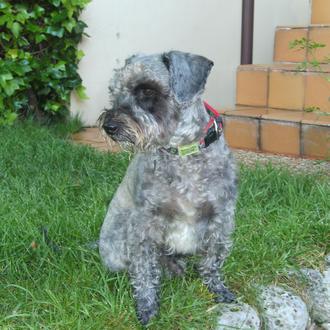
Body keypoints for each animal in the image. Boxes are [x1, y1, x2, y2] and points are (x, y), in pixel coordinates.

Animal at [97, 51, 237, 324]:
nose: (110, 126)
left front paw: (217, 289)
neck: (182, 152)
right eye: (115, 90)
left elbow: (213, 260)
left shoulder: (220, 218)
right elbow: (144, 270)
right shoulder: (145, 223)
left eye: (146, 90)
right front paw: (146, 307)